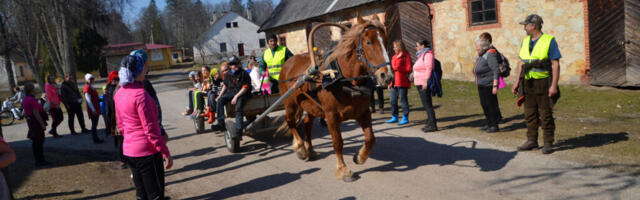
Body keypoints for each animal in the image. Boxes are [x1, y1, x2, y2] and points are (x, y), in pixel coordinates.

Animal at [278, 14, 388, 182]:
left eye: (386, 40)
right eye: (368, 42)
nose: (386, 76)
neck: (345, 80)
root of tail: (288, 63)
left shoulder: (363, 112)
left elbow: (370, 138)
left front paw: (359, 157)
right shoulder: (331, 116)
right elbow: (338, 142)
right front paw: (343, 170)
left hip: (312, 107)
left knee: (307, 123)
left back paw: (310, 150)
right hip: (290, 103)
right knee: (290, 122)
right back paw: (300, 148)